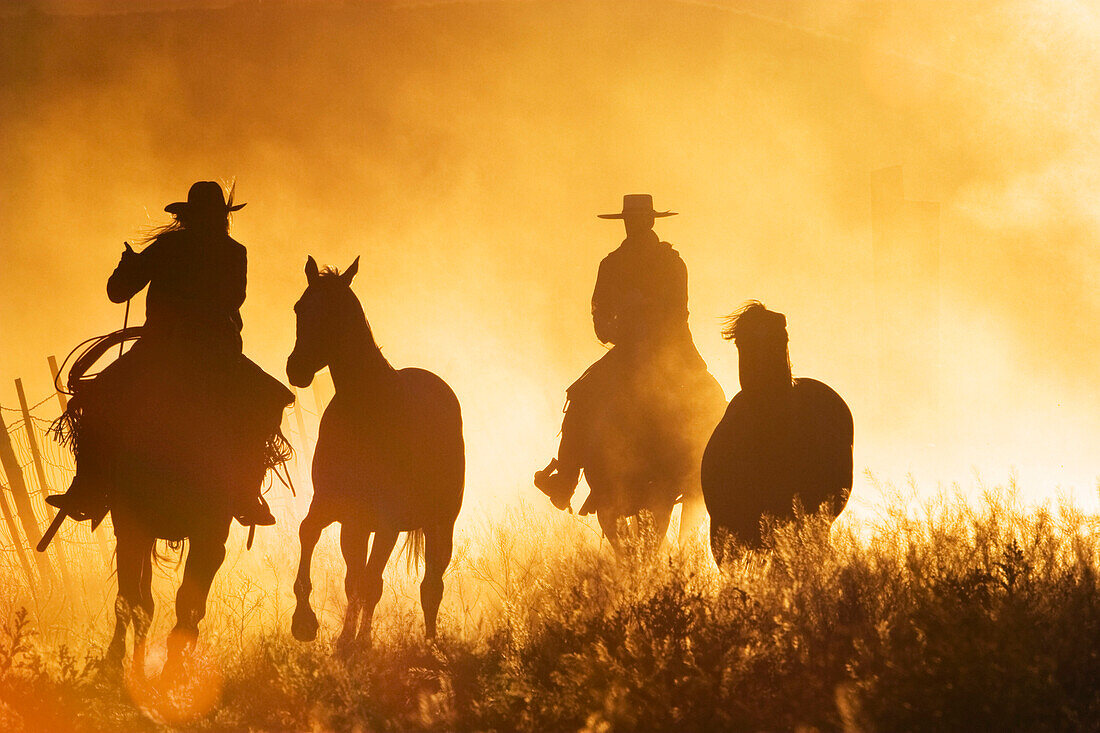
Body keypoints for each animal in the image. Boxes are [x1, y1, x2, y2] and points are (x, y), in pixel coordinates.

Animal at [286, 256, 462, 651]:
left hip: (439, 522)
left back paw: (430, 645)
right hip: (358, 526)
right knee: (360, 579)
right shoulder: (334, 507)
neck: (366, 411)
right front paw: (306, 623)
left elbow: (371, 584)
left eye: (338, 313)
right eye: (300, 307)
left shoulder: (387, 521)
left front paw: (355, 642)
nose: (296, 369)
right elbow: (309, 534)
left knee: (430, 586)